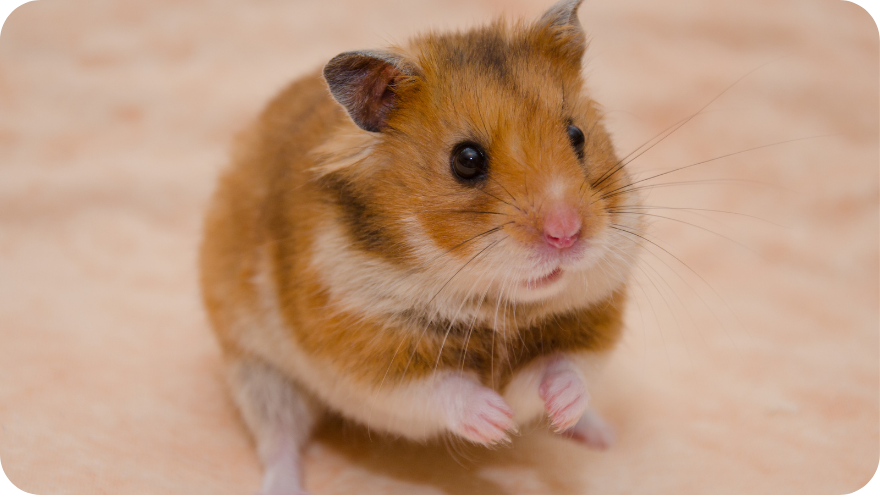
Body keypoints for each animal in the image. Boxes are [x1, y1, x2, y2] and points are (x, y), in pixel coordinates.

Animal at [200, 0, 643, 494]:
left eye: (577, 136)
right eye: (466, 160)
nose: (566, 233)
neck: (498, 305)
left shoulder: (590, 323)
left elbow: (561, 369)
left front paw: (551, 410)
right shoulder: (366, 351)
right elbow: (444, 388)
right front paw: (498, 422)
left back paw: (600, 435)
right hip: (258, 370)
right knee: (278, 438)